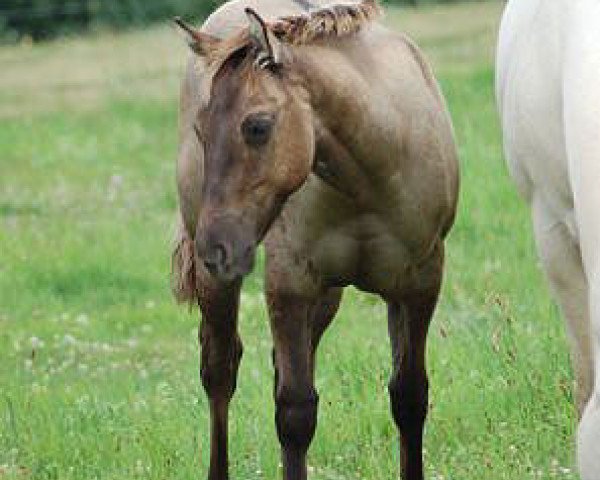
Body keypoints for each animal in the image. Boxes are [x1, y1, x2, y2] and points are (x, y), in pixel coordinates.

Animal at [173, 1, 460, 478]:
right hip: (225, 284)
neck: (371, 179)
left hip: (328, 296)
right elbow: (295, 412)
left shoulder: (419, 282)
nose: (215, 247)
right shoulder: (289, 285)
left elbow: (409, 396)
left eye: (257, 126)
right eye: (201, 129)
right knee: (219, 369)